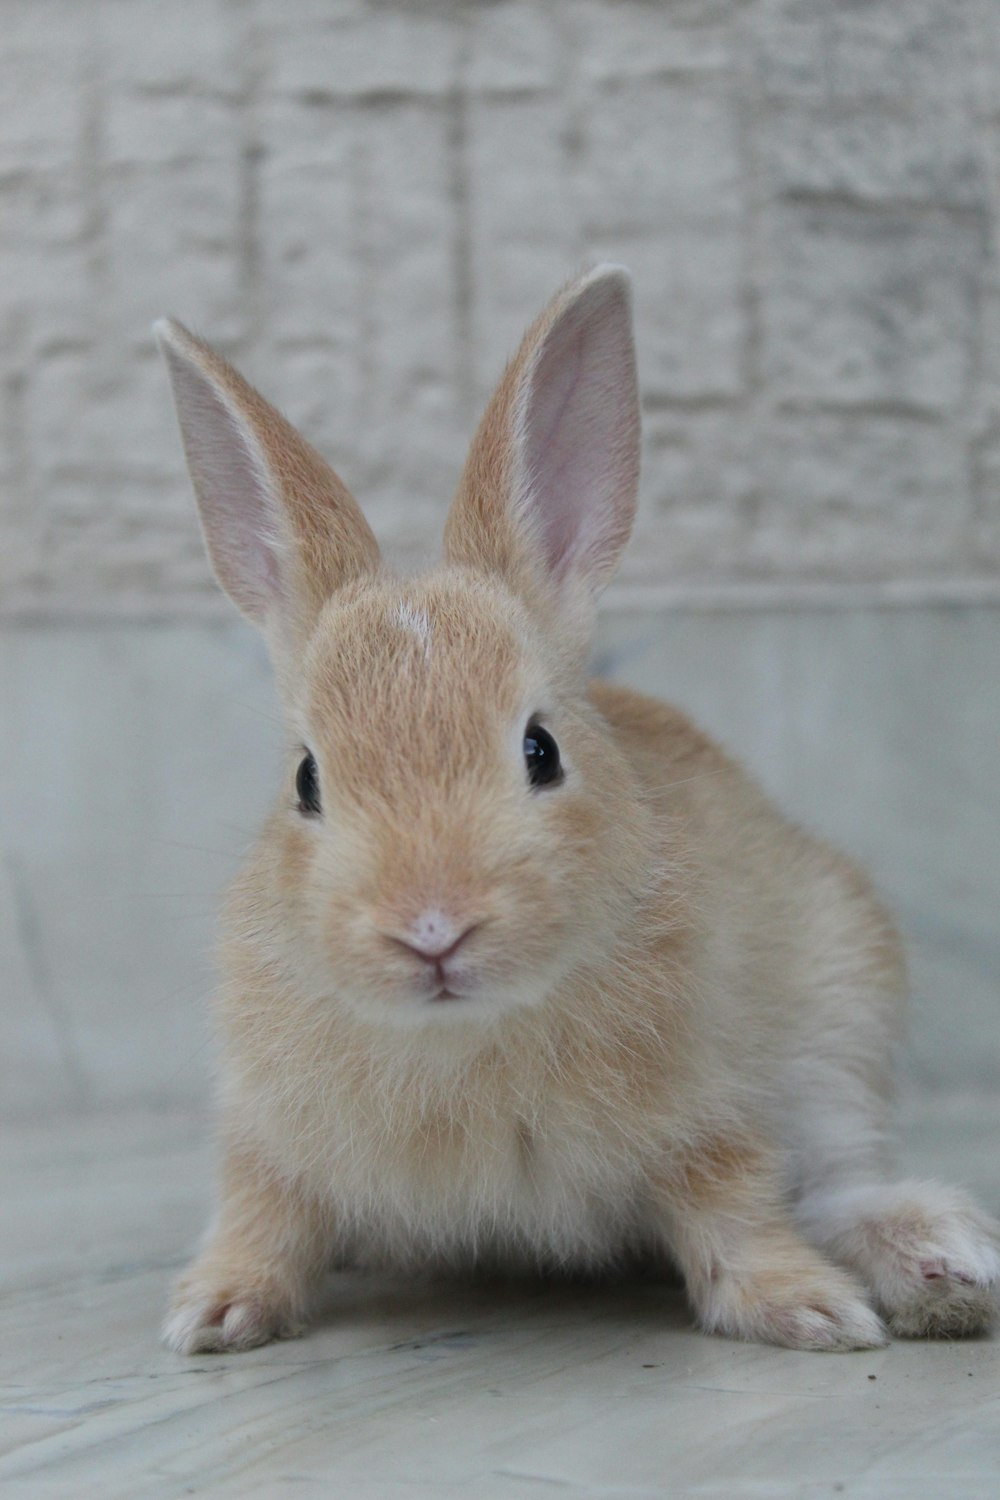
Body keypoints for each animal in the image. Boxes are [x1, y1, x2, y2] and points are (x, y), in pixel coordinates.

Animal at [156, 264, 1000, 1356]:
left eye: (540, 751)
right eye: (307, 780)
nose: (432, 928)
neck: (463, 1032)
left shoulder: (706, 1114)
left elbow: (734, 1206)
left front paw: (812, 1311)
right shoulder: (269, 1134)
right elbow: (263, 1211)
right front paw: (215, 1312)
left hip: (836, 1020)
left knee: (832, 1182)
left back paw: (944, 1261)